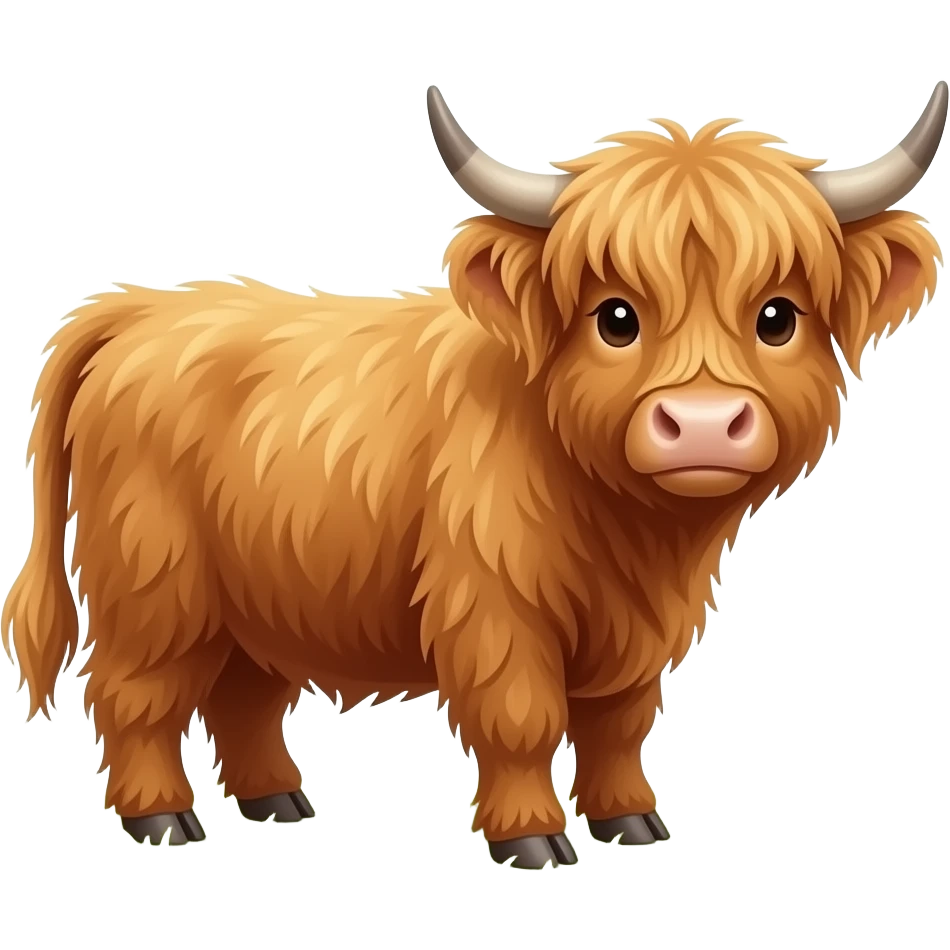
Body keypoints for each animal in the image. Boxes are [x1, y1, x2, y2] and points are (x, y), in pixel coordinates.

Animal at [1, 83, 945, 867]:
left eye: (778, 316)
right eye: (615, 318)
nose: (704, 423)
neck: (632, 532)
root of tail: (141, 306)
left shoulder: (640, 630)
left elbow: (619, 721)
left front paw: (629, 820)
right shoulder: (493, 605)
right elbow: (521, 716)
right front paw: (530, 838)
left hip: (261, 590)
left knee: (242, 698)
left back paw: (278, 801)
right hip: (156, 583)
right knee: (134, 693)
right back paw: (161, 818)